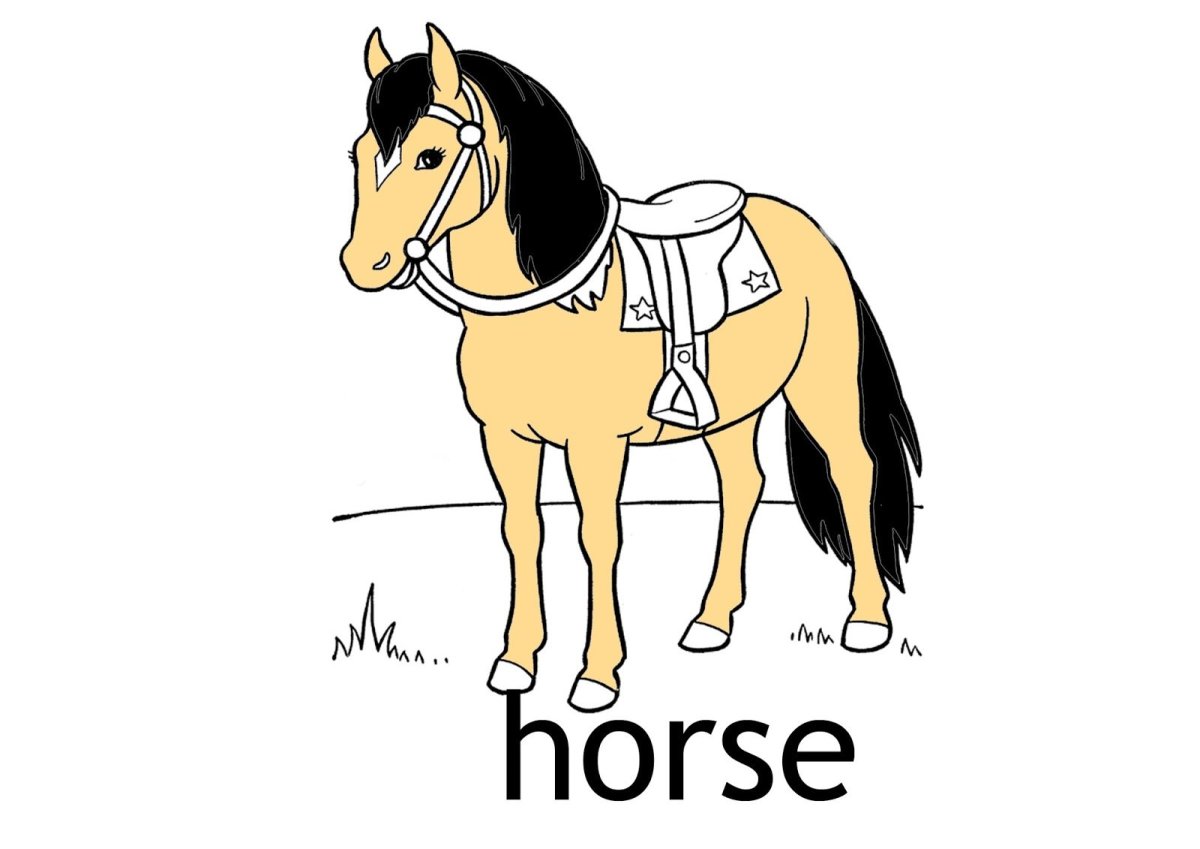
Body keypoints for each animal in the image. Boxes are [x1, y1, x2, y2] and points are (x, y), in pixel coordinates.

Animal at [339, 24, 921, 712]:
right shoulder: (504, 438)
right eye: (357, 156)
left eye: (430, 156)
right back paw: (710, 622)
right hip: (729, 412)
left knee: (854, 472)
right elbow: (521, 532)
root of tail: (808, 230)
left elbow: (599, 539)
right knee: (742, 486)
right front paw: (516, 663)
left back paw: (866, 621)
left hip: (820, 387)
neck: (551, 298)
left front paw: (596, 676)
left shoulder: (596, 445)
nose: (362, 264)